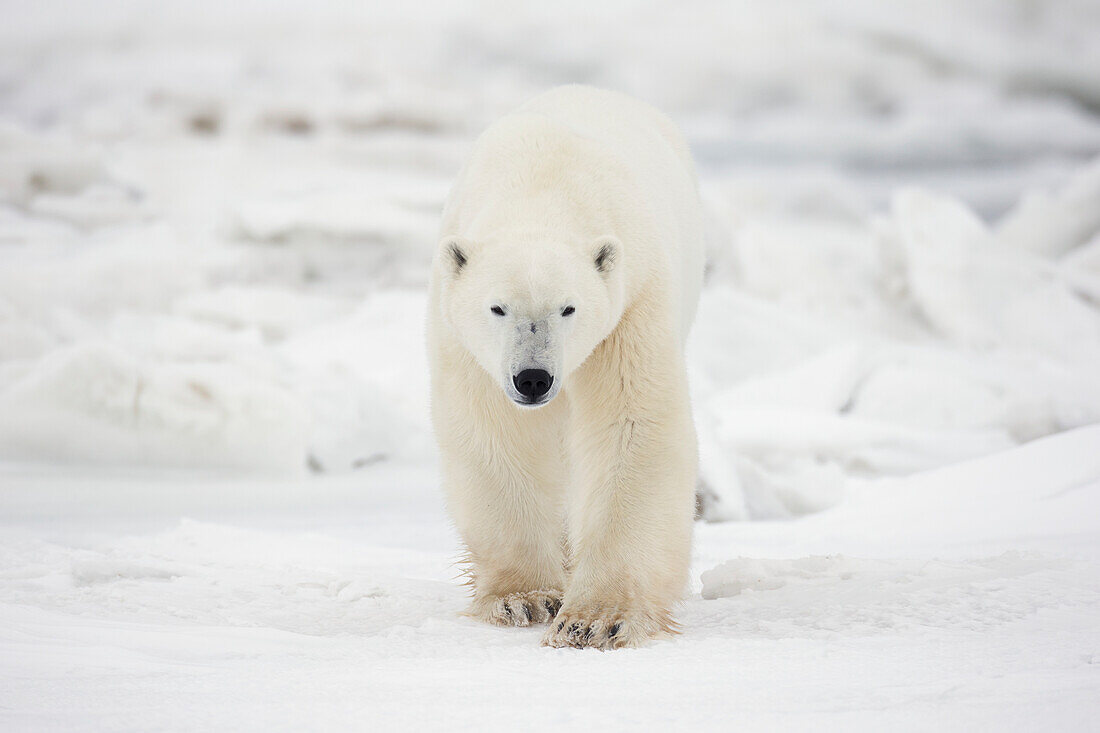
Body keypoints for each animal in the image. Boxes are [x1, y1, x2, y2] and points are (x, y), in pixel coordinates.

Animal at [424, 85, 699, 647]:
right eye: (497, 307)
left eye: (568, 308)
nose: (533, 378)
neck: (545, 188)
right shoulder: (464, 338)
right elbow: (496, 432)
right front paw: (524, 598)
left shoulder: (631, 306)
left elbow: (631, 427)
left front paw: (596, 619)